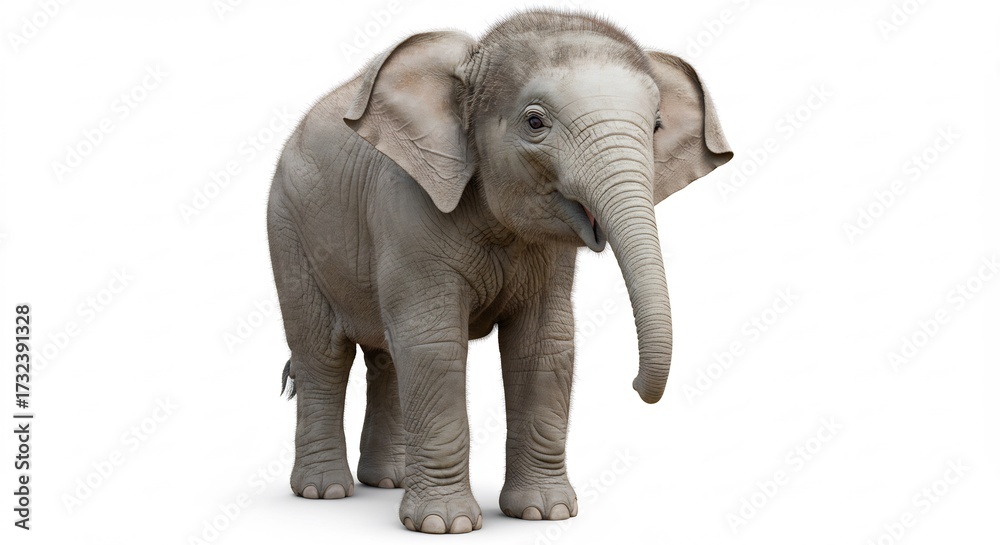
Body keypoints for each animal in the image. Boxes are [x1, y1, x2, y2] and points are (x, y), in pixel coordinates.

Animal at [266, 9, 732, 534]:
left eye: (655, 126)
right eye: (535, 122)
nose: (633, 385)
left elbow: (544, 344)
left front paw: (544, 513)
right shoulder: (407, 203)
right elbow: (434, 344)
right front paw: (443, 525)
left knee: (385, 358)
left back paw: (388, 482)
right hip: (289, 231)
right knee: (322, 354)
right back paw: (323, 493)